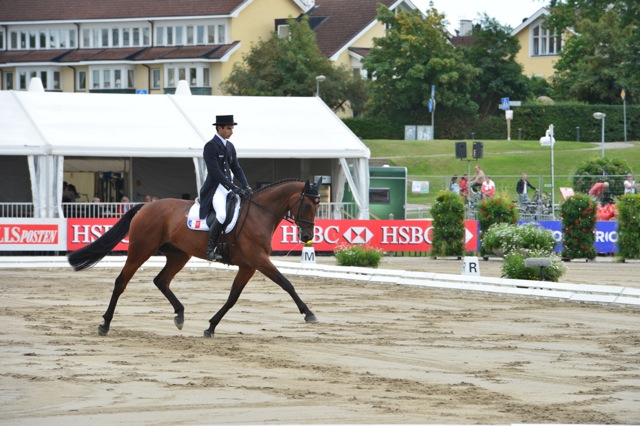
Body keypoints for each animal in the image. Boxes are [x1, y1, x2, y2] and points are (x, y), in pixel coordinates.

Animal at [67, 178, 322, 338]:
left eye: (318, 205)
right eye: (307, 205)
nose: (307, 236)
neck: (259, 214)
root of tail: (145, 207)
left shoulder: (248, 266)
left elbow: (233, 297)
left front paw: (211, 327)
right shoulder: (259, 260)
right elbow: (286, 284)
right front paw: (309, 314)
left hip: (179, 255)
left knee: (161, 280)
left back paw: (180, 315)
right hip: (141, 250)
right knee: (121, 282)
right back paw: (105, 324)